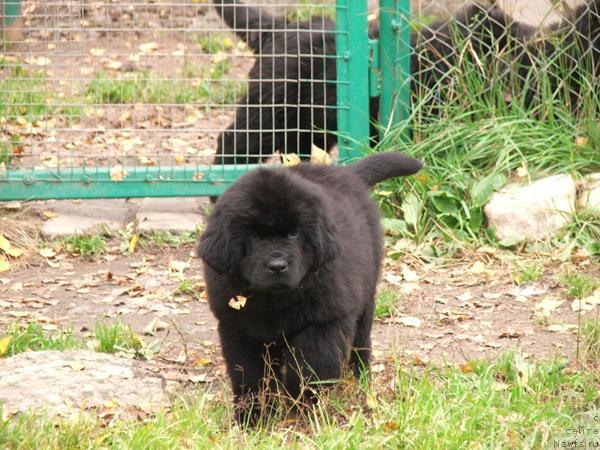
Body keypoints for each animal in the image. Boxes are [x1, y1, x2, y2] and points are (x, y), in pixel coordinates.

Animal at [198, 153, 422, 424]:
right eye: (254, 236)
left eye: (294, 234)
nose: (277, 266)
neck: (275, 301)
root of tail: (347, 173)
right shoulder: (239, 327)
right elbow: (251, 375)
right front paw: (254, 417)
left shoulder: (323, 324)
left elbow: (309, 369)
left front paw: (301, 408)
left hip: (366, 297)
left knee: (361, 343)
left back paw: (360, 383)